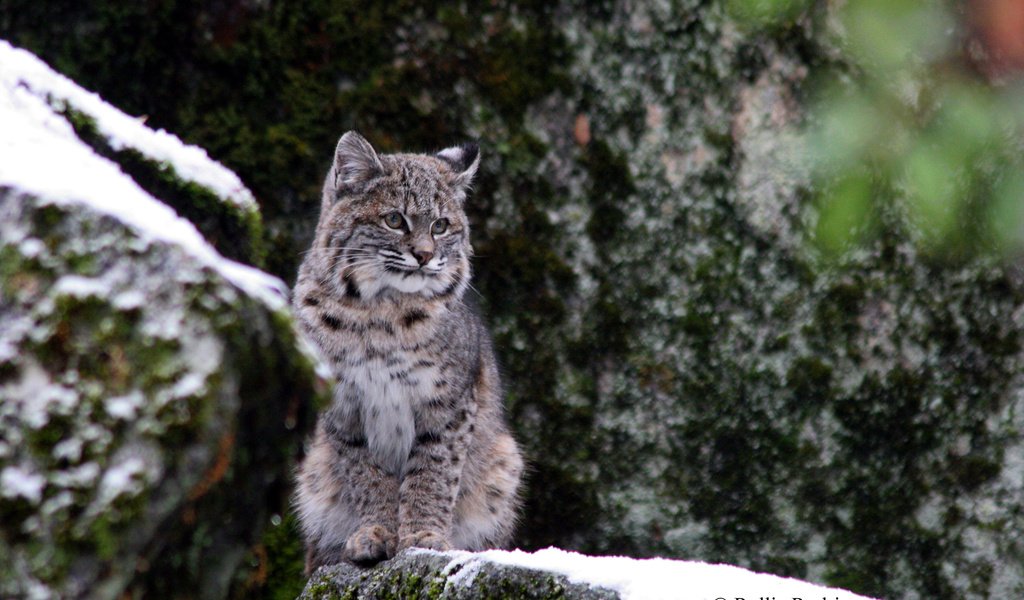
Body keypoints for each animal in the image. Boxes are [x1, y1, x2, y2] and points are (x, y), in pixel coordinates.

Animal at [292, 129, 524, 569]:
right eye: (394, 220)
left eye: (441, 225)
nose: (424, 256)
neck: (379, 311)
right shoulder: (345, 406)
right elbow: (366, 474)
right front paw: (375, 533)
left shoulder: (448, 403)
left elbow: (434, 473)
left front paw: (424, 538)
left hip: (505, 461)